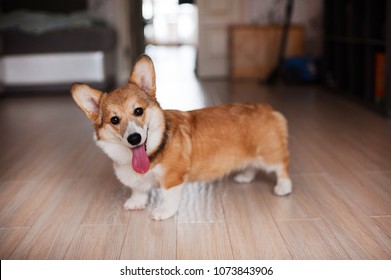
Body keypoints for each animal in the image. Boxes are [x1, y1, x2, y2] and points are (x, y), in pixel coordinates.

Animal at [71, 54, 290, 221]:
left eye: (138, 111)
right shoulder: (138, 181)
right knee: (252, 165)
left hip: (269, 155)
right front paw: (136, 202)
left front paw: (163, 212)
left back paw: (283, 187)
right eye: (114, 120)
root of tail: (267, 108)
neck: (153, 150)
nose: (134, 138)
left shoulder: (172, 178)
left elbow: (168, 196)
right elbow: (139, 190)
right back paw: (245, 176)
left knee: (282, 167)